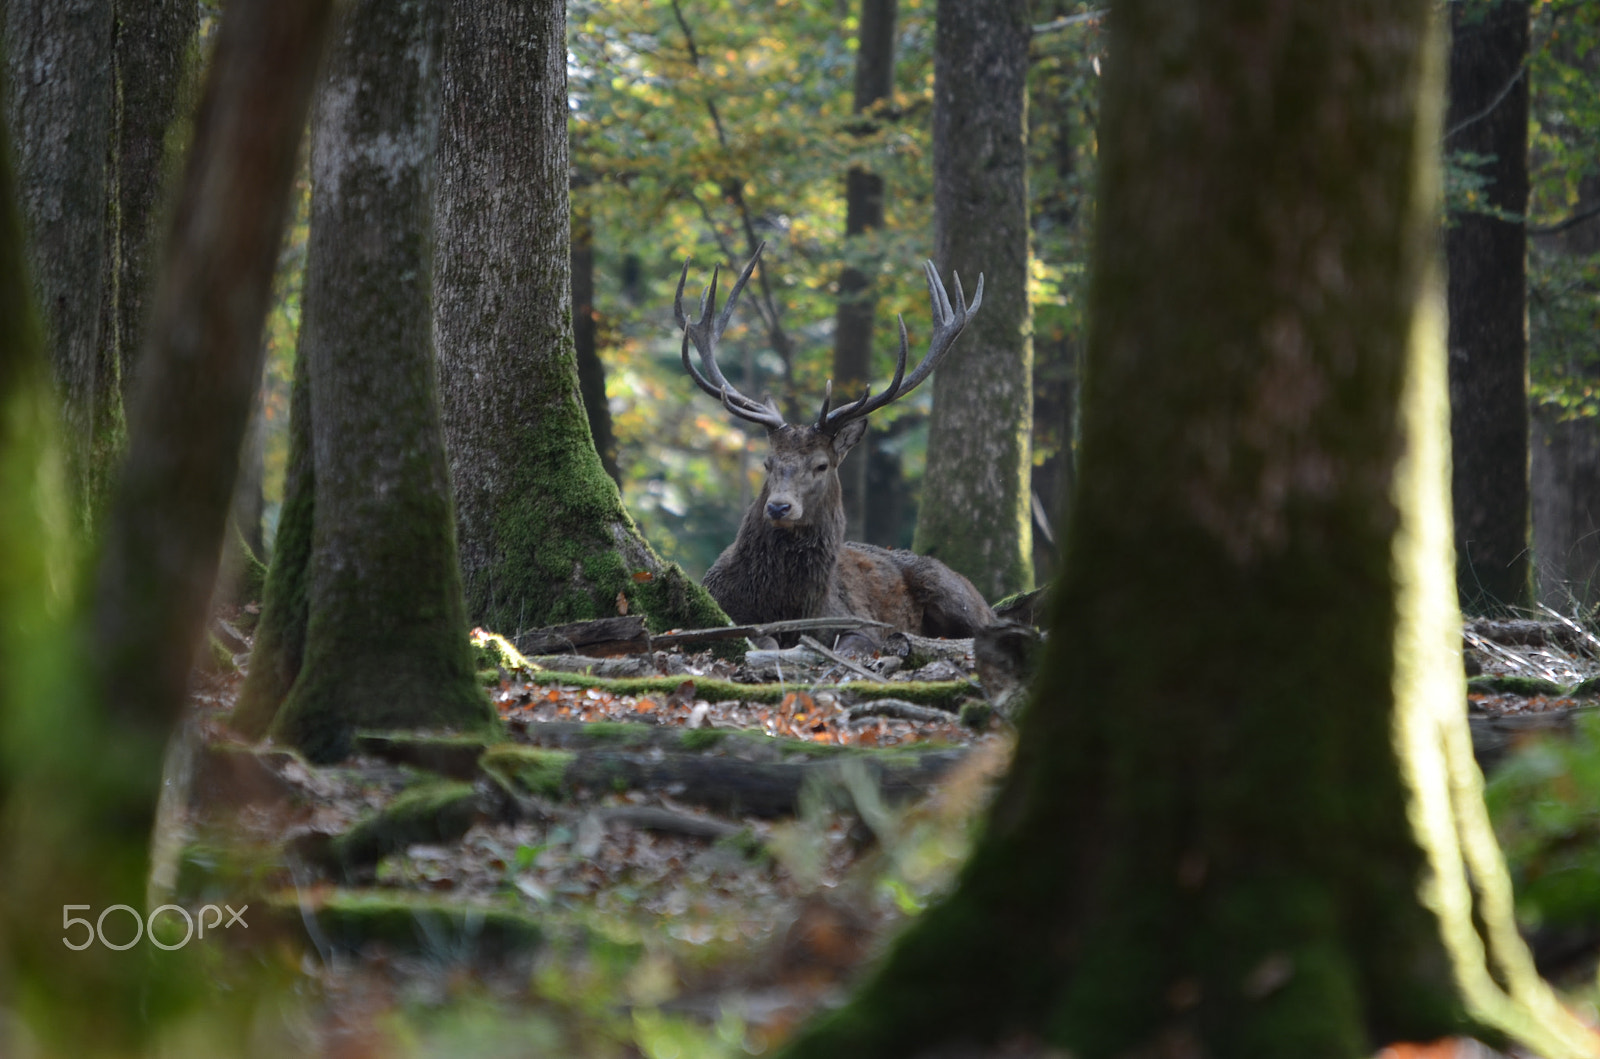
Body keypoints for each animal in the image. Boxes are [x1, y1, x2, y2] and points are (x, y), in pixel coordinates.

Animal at [672, 246, 992, 655]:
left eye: (821, 465)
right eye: (767, 463)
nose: (779, 507)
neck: (789, 607)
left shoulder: (855, 620)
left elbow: (848, 643)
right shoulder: (725, 611)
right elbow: (764, 641)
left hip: (953, 591)